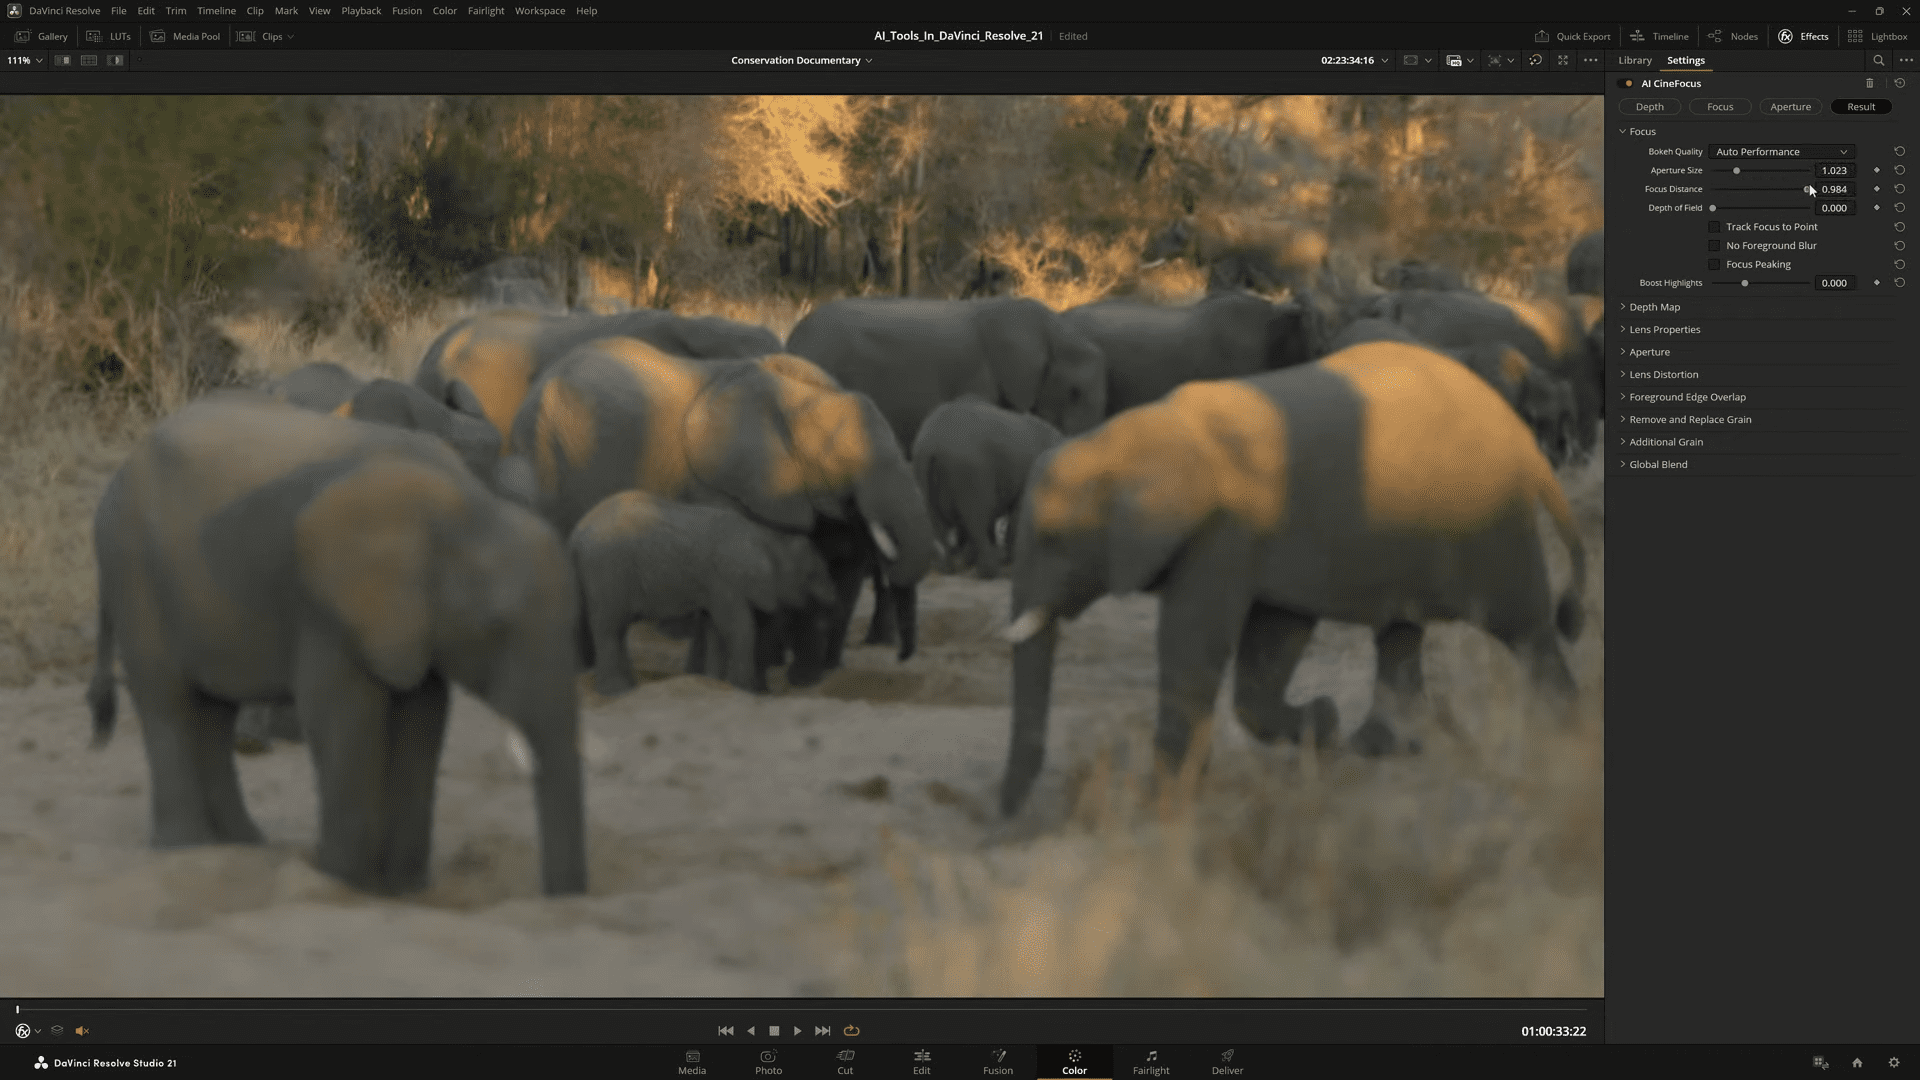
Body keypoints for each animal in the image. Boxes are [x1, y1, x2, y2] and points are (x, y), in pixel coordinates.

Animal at [86, 393, 587, 896]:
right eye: (495, 626)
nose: (556, 897)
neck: (466, 507)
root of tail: (119, 474)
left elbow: (423, 716)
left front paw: (402, 890)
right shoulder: (327, 609)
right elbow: (342, 713)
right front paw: (342, 881)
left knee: (214, 712)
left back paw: (243, 844)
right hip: (131, 566)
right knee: (166, 700)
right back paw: (184, 848)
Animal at [570, 490, 838, 696]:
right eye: (812, 575)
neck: (767, 537)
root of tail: (576, 533)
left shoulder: (715, 583)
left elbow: (715, 626)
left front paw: (715, 683)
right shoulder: (725, 579)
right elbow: (737, 626)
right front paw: (742, 689)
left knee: (618, 628)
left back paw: (629, 688)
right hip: (607, 570)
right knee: (609, 628)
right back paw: (616, 692)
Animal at [911, 395, 1064, 580]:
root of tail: (931, 447)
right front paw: (1008, 561)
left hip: (924, 474)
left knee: (939, 522)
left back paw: (949, 569)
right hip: (969, 472)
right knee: (976, 519)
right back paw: (988, 572)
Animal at [996, 340, 1589, 817]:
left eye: (1052, 538)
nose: (1002, 823)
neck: (1129, 436)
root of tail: (1519, 439)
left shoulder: (1224, 531)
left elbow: (1195, 642)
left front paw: (1163, 804)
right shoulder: (1264, 536)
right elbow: (1273, 638)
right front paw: (1322, 727)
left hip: (1492, 524)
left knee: (1525, 628)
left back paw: (1564, 738)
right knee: (1399, 630)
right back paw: (1379, 748)